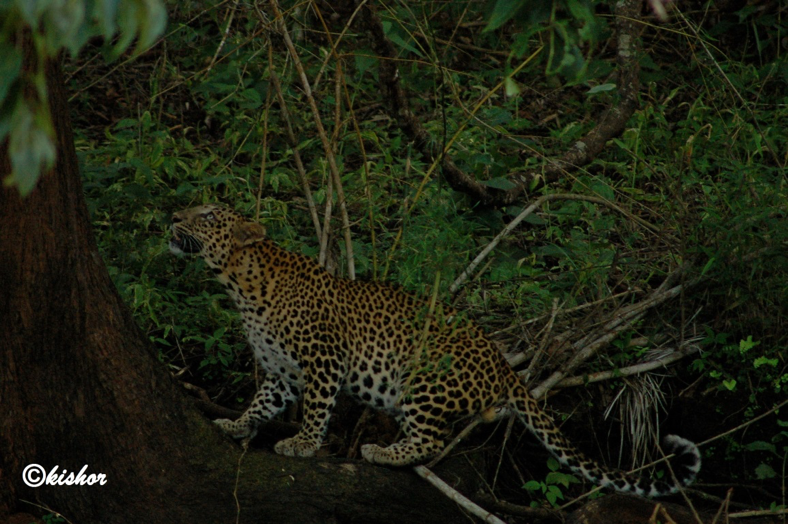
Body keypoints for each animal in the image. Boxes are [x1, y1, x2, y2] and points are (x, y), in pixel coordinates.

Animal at [169, 203, 700, 498]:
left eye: (208, 215)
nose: (172, 215)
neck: (241, 287)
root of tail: (504, 366)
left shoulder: (323, 360)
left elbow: (318, 409)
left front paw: (301, 444)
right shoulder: (282, 373)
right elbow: (262, 402)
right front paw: (236, 423)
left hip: (424, 374)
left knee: (433, 440)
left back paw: (382, 451)